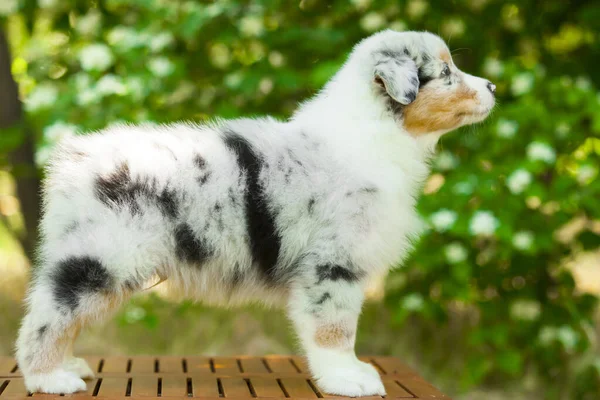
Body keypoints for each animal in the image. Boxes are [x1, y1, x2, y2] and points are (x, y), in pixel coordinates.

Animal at [16, 29, 494, 396]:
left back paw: (68, 365)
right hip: (102, 257)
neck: (373, 135)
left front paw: (350, 372)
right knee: (47, 315)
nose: (492, 88)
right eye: (446, 74)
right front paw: (346, 378)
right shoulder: (331, 264)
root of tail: (74, 158)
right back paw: (48, 377)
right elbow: (335, 329)